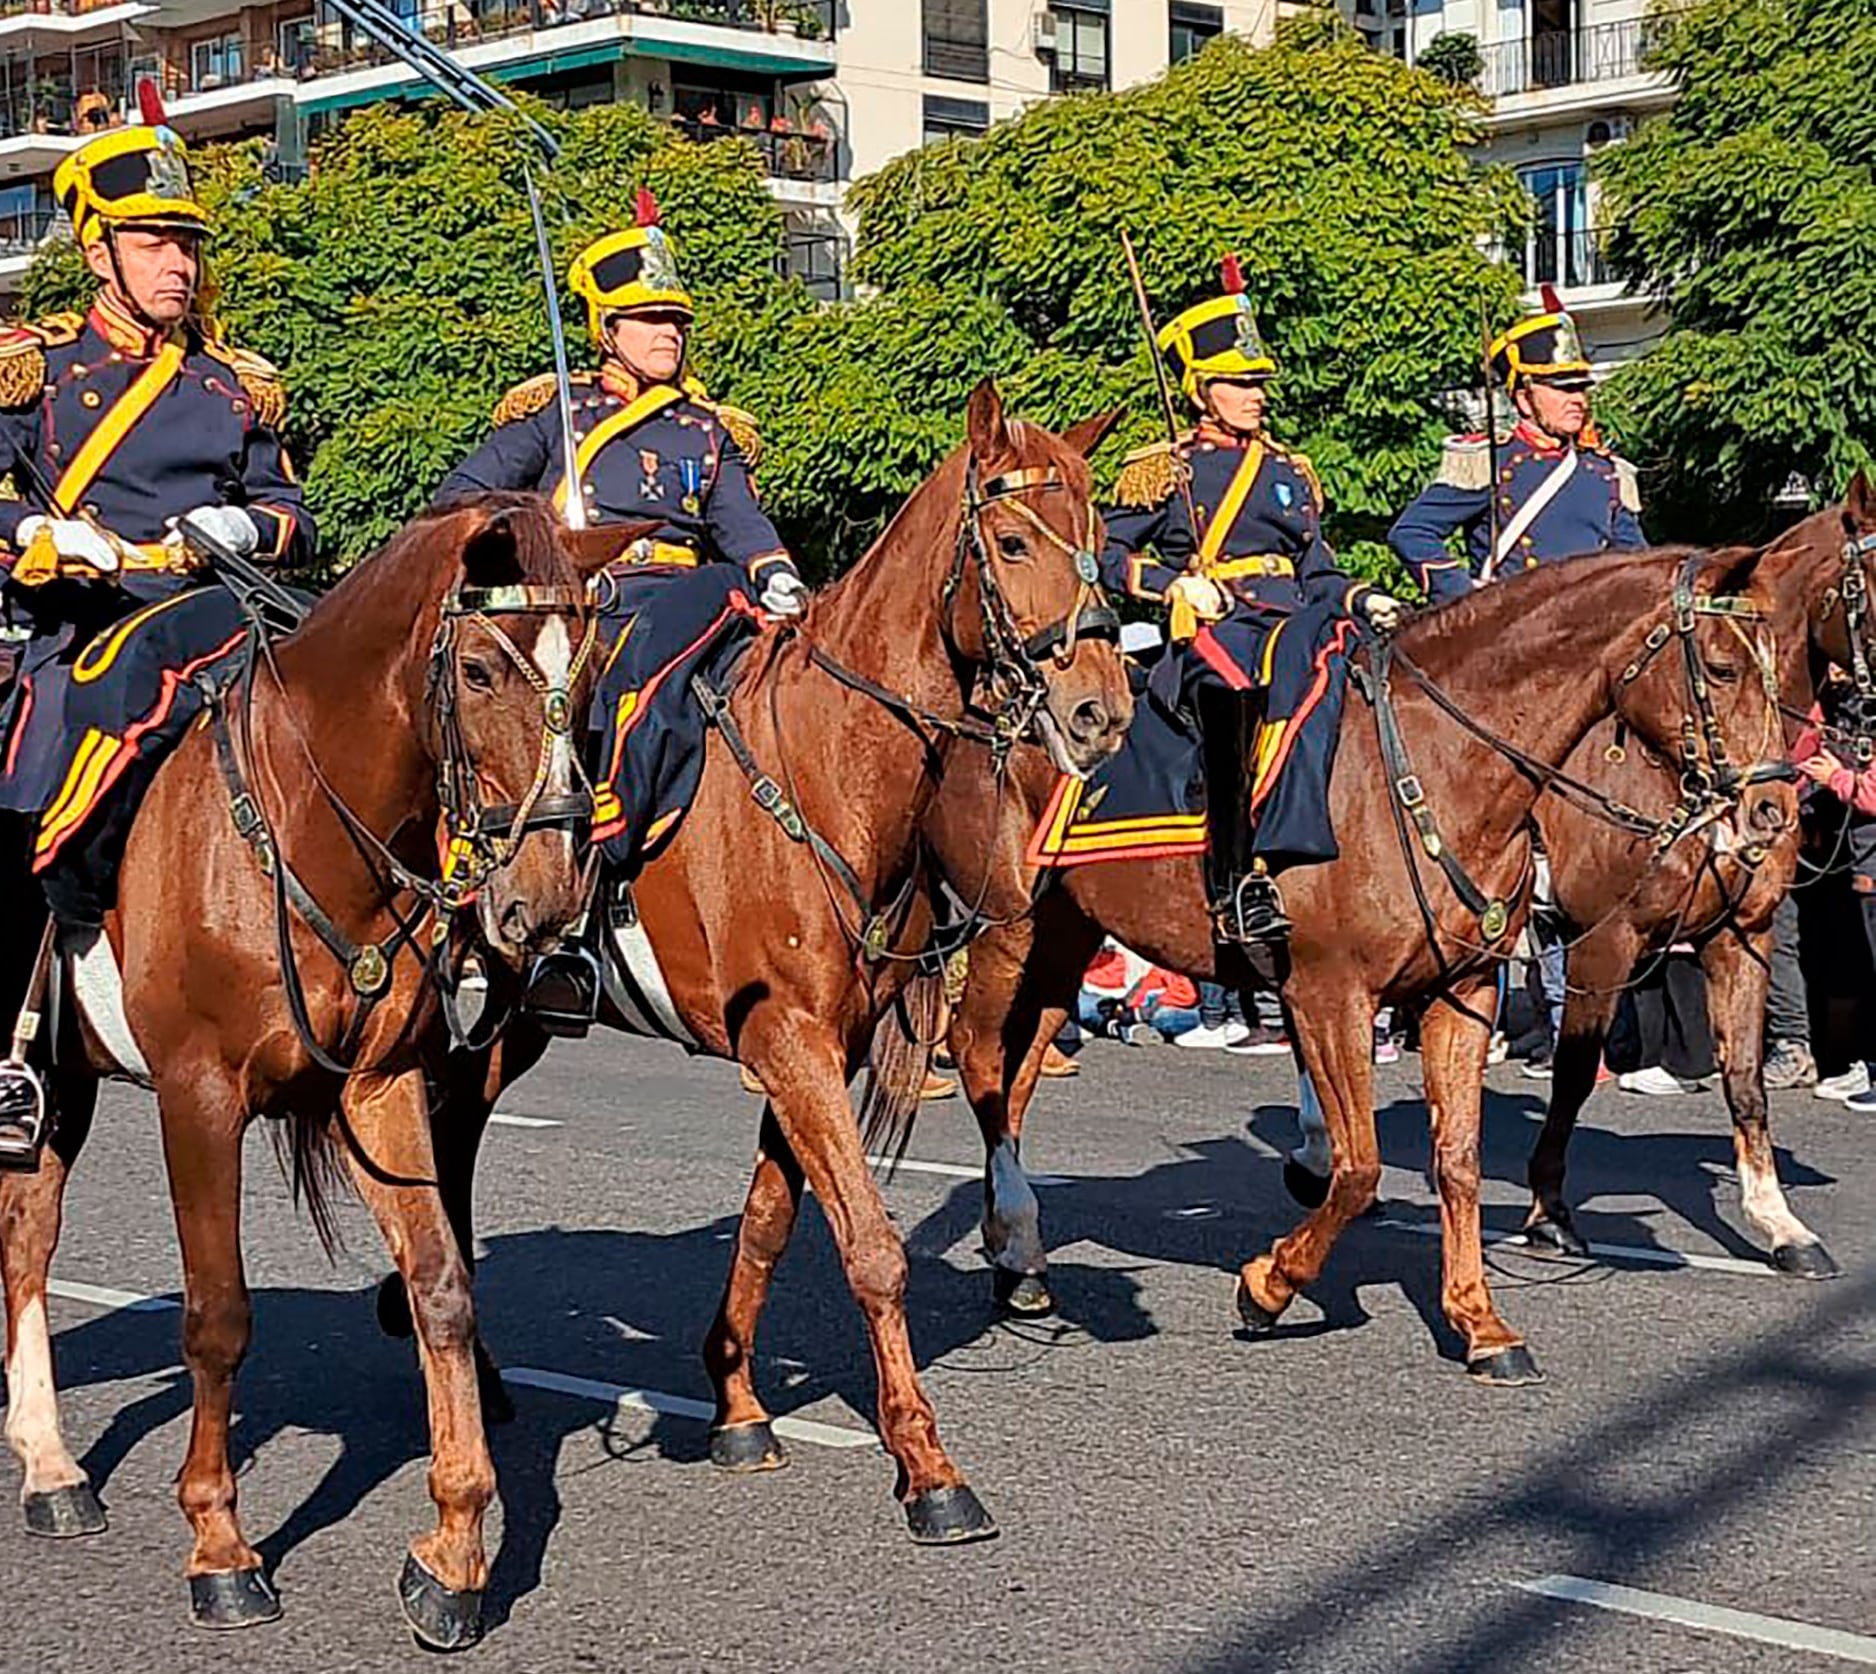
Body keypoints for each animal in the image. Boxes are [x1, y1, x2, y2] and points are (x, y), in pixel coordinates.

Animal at [0, 495, 615, 1651]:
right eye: (477, 670)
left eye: (595, 670)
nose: (550, 899)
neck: (303, 824)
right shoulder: (198, 1098)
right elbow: (217, 1315)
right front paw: (219, 1545)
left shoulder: (384, 1087)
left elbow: (443, 1289)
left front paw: (454, 1554)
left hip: (65, 1078)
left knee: (26, 1236)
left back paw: (52, 1467)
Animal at [371, 382, 1118, 1546]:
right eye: (1010, 540)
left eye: (1098, 541)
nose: (1100, 709)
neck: (828, 765)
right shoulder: (789, 1041)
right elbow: (870, 1245)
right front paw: (929, 1468)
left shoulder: (812, 1046)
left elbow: (772, 1223)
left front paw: (735, 1404)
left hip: (510, 1025)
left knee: (446, 1165)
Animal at [930, 544, 1793, 1381]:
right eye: (1723, 667)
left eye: (1780, 670)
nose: (1774, 809)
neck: (1438, 766)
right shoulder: (1331, 994)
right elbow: (1358, 1168)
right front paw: (1268, 1286)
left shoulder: (1462, 992)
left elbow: (1457, 1159)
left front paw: (1479, 1324)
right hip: (1006, 929)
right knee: (976, 1053)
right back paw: (1015, 1238)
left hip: (1065, 939)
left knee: (1018, 1074)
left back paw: (1017, 1254)